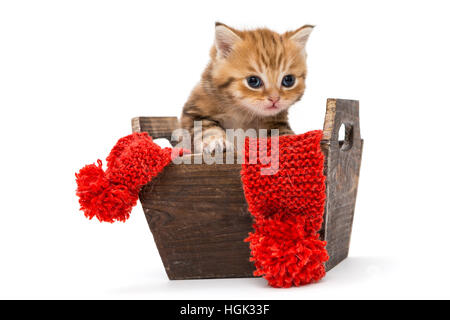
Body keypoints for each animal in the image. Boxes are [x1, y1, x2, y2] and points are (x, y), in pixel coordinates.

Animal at [179, 22, 312, 154]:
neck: (244, 113)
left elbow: (281, 131)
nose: (275, 99)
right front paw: (216, 141)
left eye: (288, 80)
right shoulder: (194, 111)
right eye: (253, 81)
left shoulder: (277, 120)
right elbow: (207, 127)